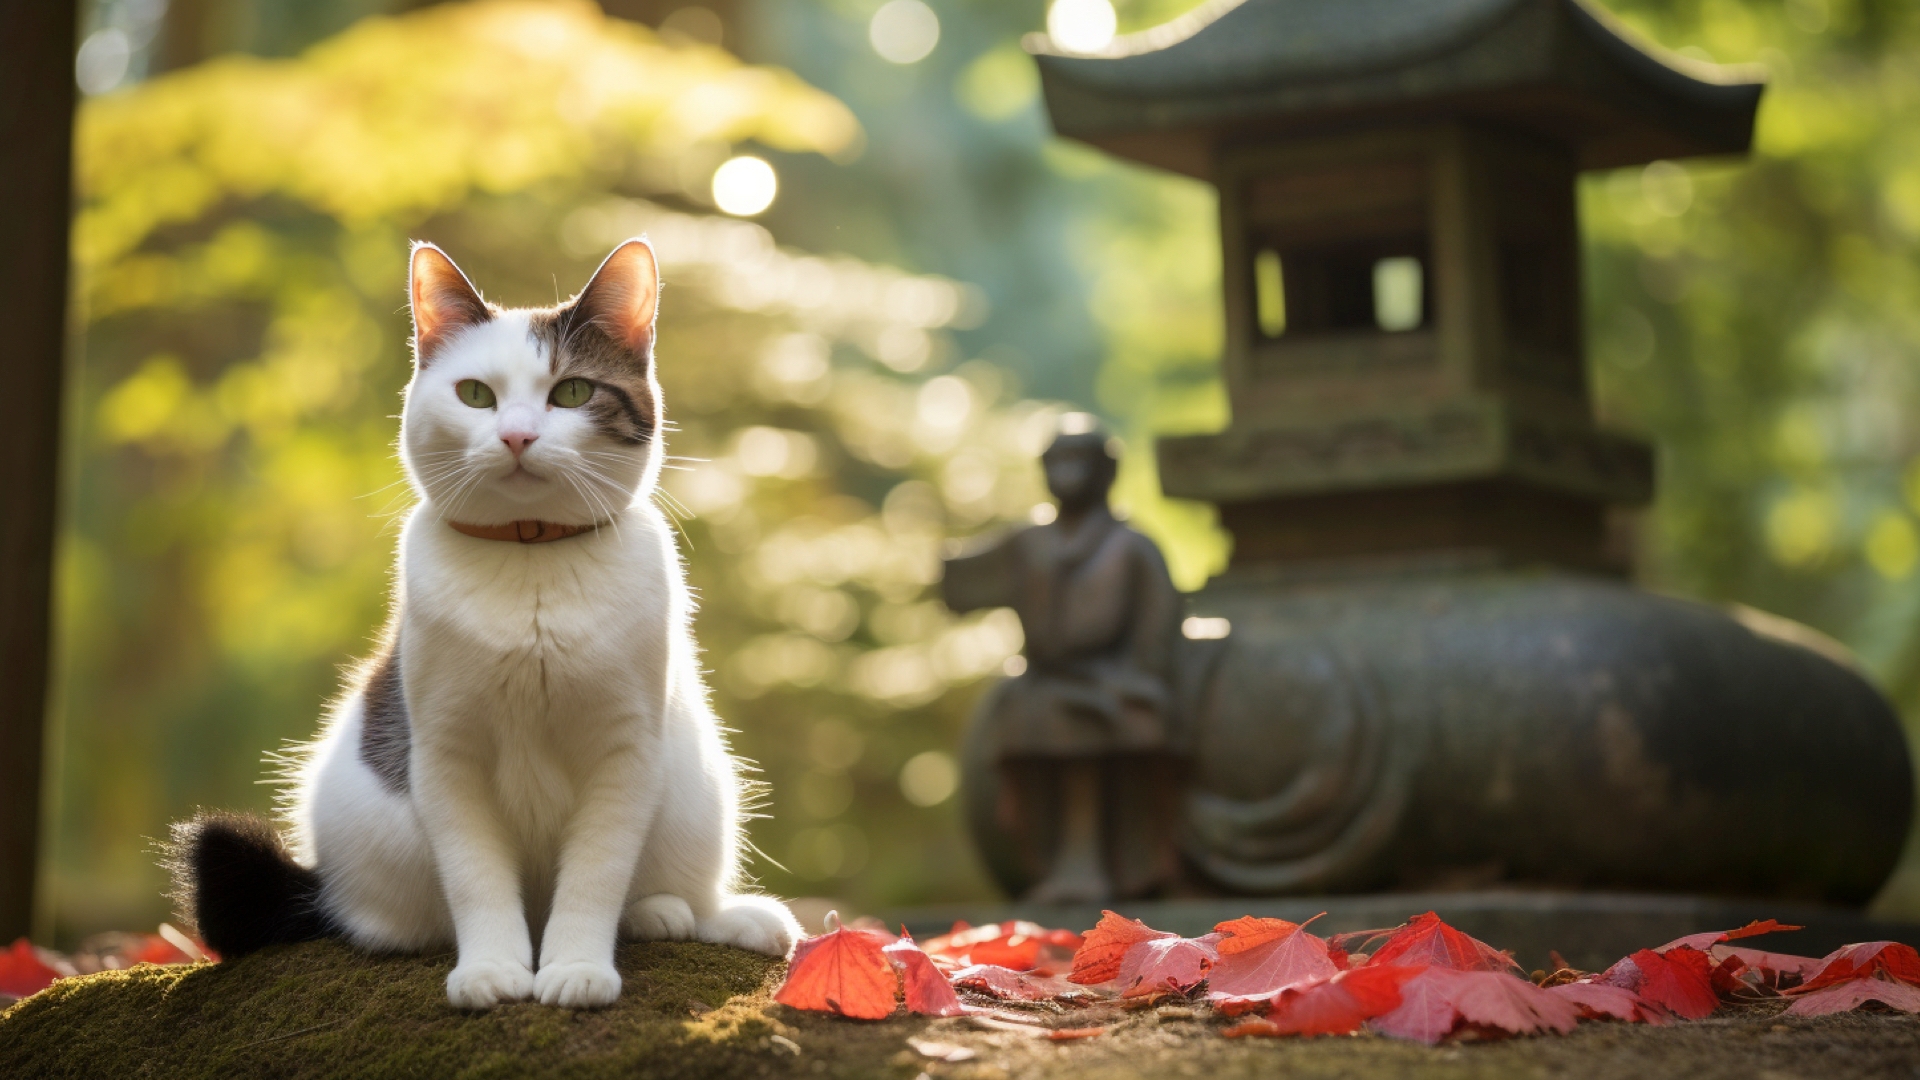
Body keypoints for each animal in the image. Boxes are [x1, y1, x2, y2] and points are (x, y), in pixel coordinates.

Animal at [165, 237, 794, 1006]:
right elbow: (476, 878)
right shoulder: (446, 753)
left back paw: (701, 915)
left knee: (667, 888)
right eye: (475, 394)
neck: (530, 561)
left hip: (697, 787)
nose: (518, 435)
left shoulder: (625, 751)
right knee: (383, 919)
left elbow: (596, 875)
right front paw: (493, 970)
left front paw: (575, 969)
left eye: (572, 393)